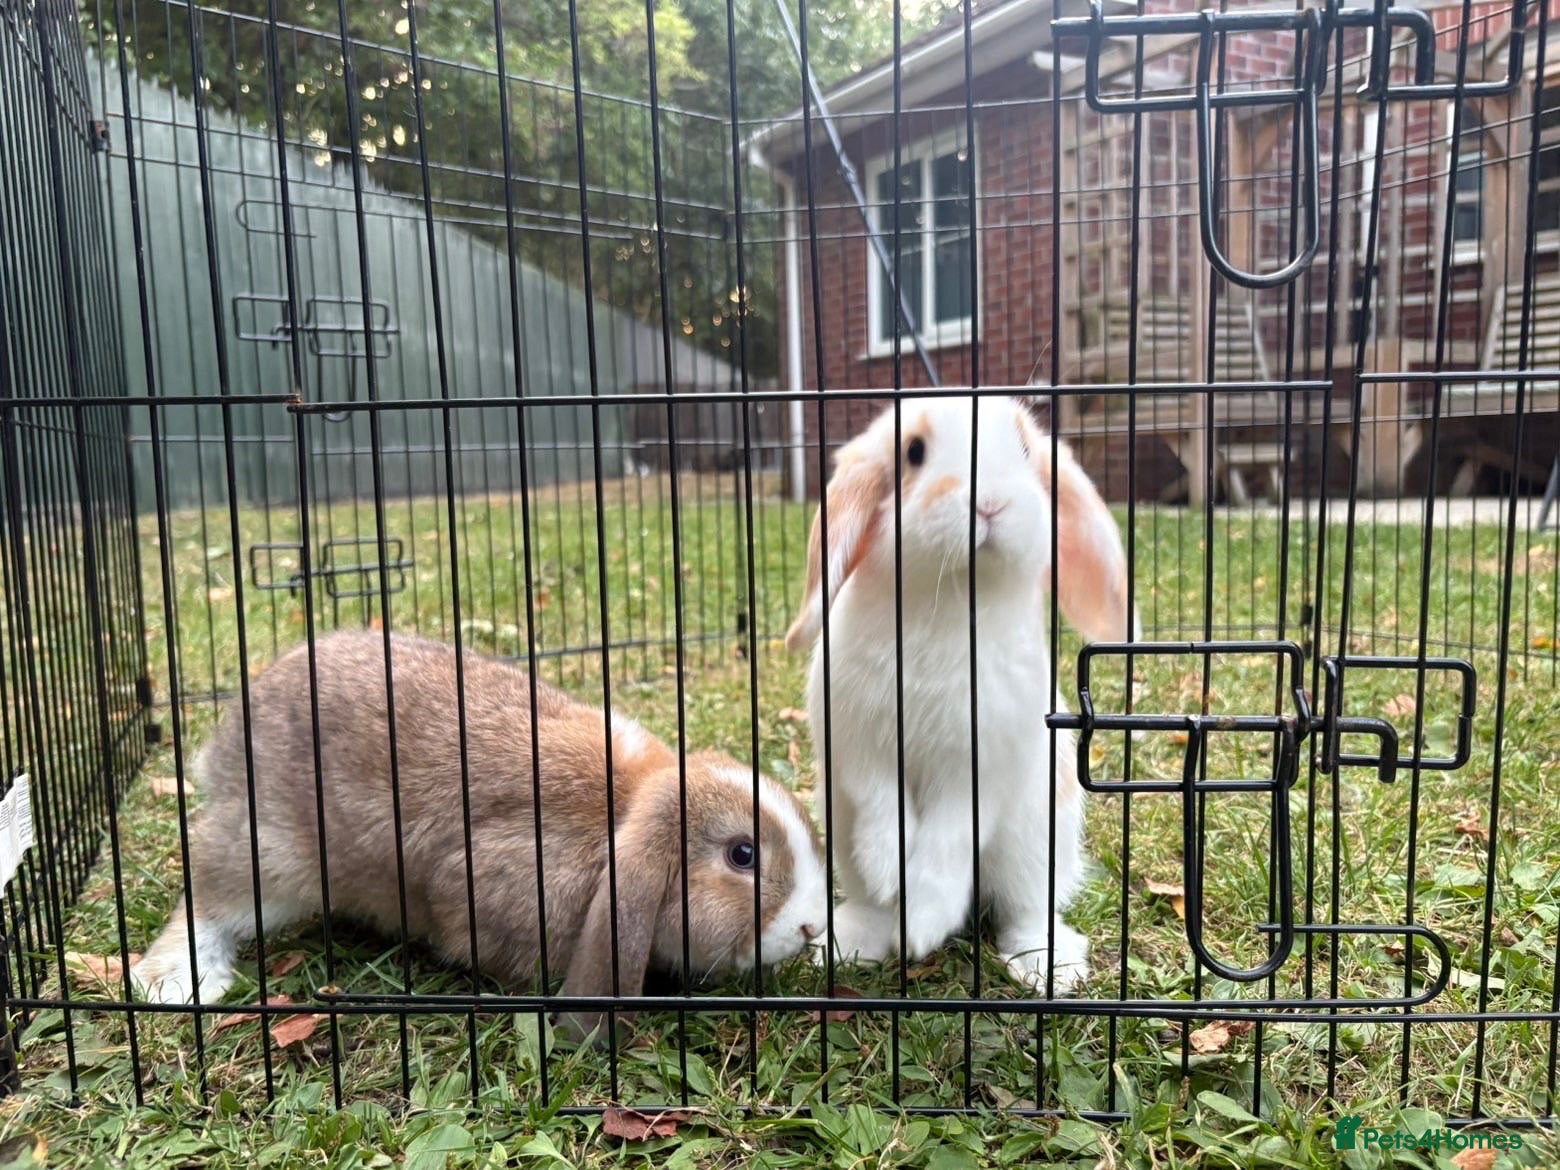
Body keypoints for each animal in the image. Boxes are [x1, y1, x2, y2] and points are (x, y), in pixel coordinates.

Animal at [131, 630, 828, 1038]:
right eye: (742, 855)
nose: (811, 927)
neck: (621, 812)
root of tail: (229, 738)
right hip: (271, 851)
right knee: (207, 900)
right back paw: (175, 982)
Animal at [784, 396, 1137, 992]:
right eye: (913, 452)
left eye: (1024, 450)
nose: (989, 500)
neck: (951, 597)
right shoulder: (860, 743)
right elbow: (884, 806)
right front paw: (890, 870)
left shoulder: (979, 766)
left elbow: (948, 842)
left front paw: (922, 923)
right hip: (841, 826)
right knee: (867, 899)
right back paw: (848, 943)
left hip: (1035, 844)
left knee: (1025, 909)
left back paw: (1045, 965)